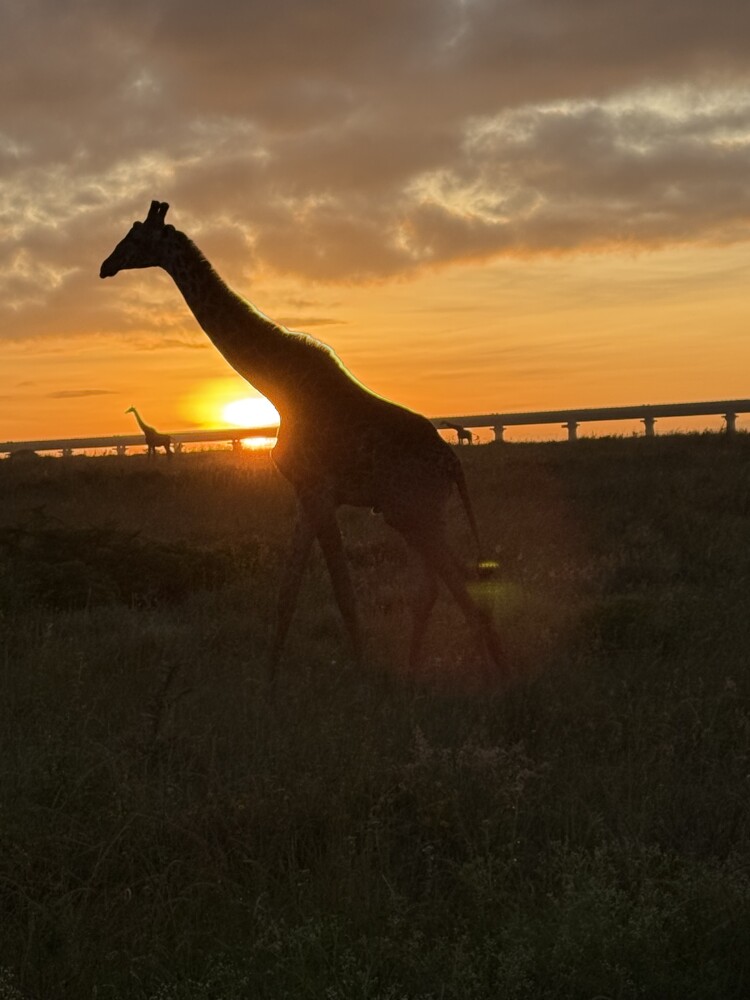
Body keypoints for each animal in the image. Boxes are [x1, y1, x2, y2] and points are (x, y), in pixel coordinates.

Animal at [101, 201, 504, 675]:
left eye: (136, 236)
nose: (105, 266)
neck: (278, 385)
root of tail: (454, 465)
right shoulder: (303, 493)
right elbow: (286, 596)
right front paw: (269, 679)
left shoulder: (319, 491)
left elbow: (344, 595)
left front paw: (364, 676)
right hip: (408, 515)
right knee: (437, 588)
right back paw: (415, 673)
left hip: (417, 511)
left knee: (466, 592)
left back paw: (498, 679)